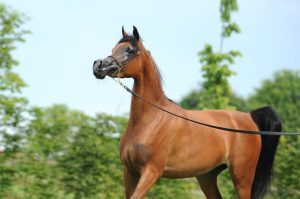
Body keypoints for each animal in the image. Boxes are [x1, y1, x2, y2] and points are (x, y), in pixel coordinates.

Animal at [93, 26, 282, 199]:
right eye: (113, 49)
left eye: (129, 50)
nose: (98, 65)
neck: (148, 121)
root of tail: (249, 118)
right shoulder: (130, 172)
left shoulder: (151, 171)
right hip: (206, 176)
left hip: (242, 178)